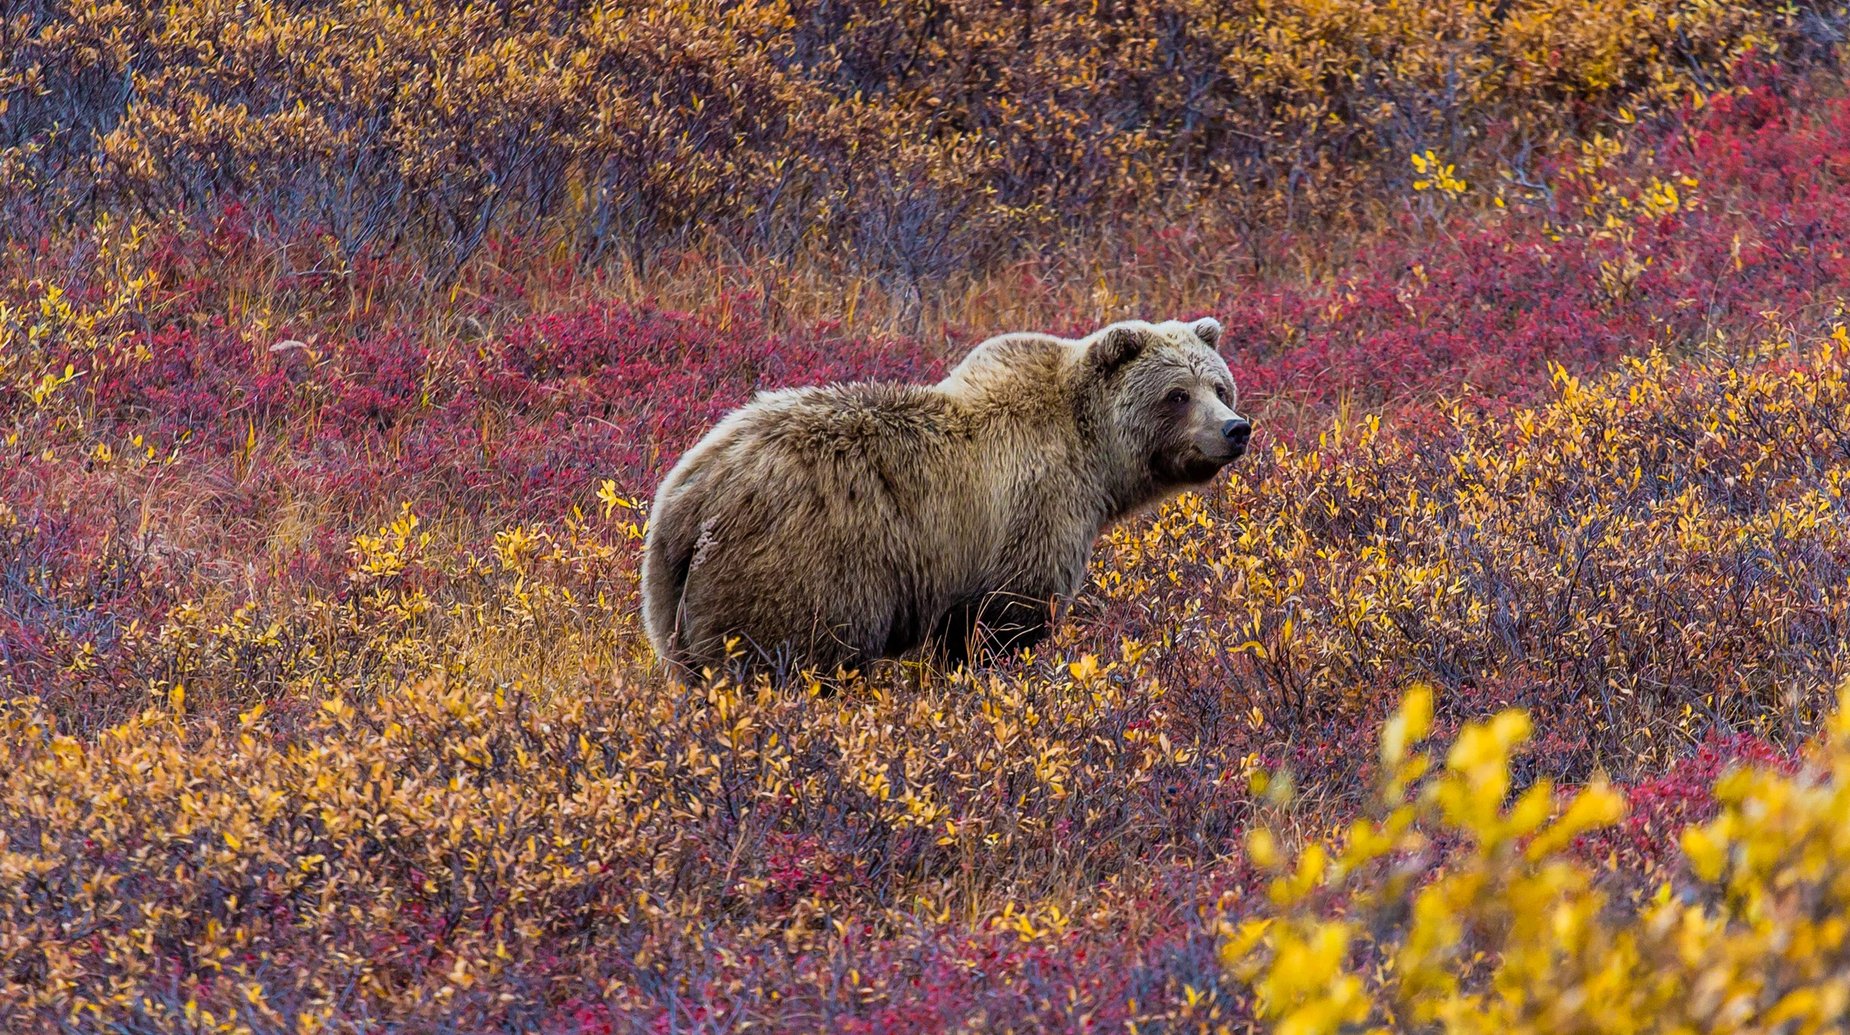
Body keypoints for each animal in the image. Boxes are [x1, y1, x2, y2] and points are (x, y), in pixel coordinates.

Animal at [640, 320, 1258, 685]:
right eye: (1176, 395)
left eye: (1219, 386)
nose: (1235, 428)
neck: (1094, 457)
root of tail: (690, 498)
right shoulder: (1030, 514)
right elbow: (1001, 622)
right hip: (800, 567)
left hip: (671, 601)